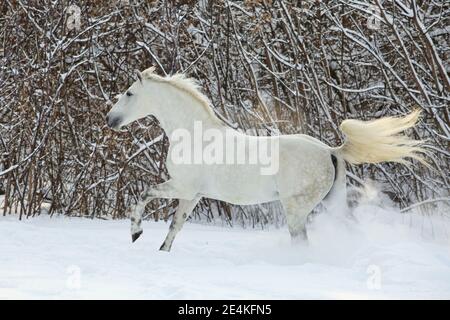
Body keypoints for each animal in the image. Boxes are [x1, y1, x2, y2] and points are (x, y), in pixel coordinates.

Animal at [105, 67, 426, 251]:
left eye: (129, 93)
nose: (110, 120)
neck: (194, 134)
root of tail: (331, 152)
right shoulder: (192, 195)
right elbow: (175, 227)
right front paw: (162, 252)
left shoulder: (182, 187)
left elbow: (144, 195)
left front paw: (136, 233)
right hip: (332, 203)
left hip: (296, 208)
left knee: (301, 241)